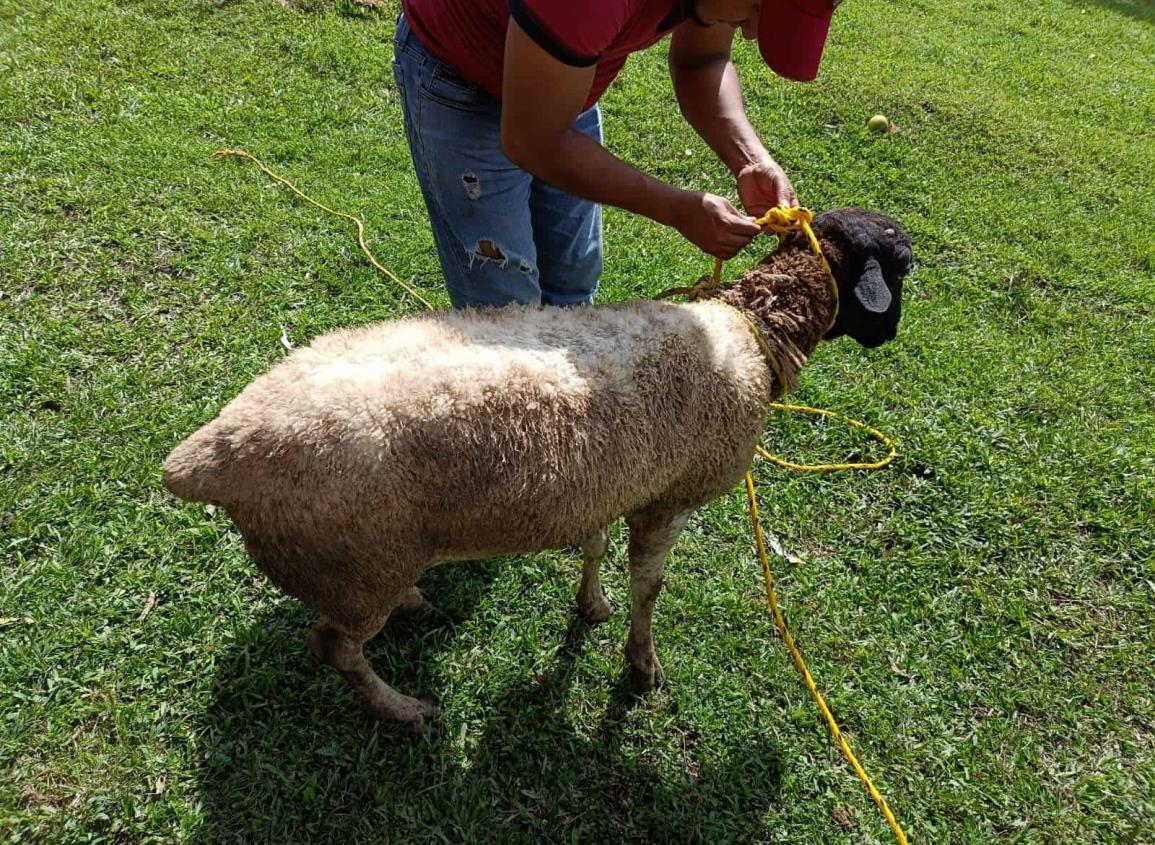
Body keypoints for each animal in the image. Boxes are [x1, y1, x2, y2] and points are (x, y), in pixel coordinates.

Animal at [167, 206, 914, 734]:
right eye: (904, 264)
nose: (889, 335)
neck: (753, 330)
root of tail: (211, 453)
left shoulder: (612, 480)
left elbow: (595, 545)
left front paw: (591, 606)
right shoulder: (667, 499)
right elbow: (650, 588)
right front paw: (642, 666)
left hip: (360, 564)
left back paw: (415, 605)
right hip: (353, 565)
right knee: (331, 645)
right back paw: (402, 709)